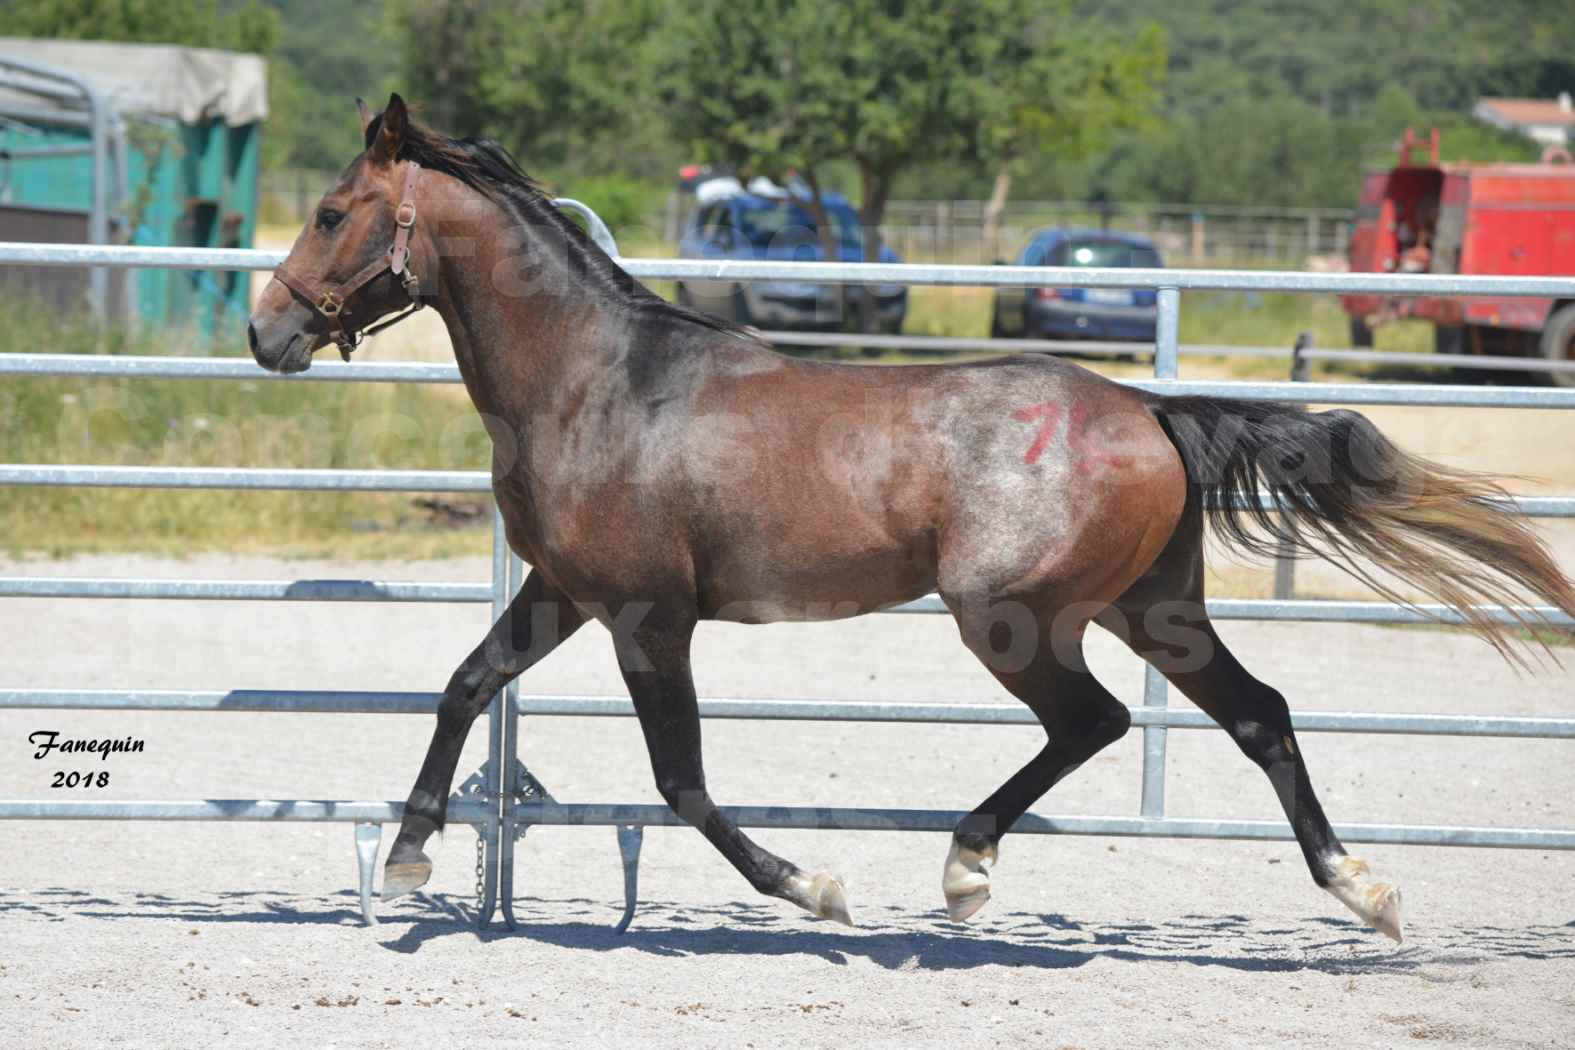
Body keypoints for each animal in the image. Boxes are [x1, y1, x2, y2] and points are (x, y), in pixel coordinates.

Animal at [245, 94, 1575, 938]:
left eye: (328, 212)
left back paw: (966, 868)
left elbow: (682, 780)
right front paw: (410, 856)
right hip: (1157, 611)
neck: (603, 380)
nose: (265, 333)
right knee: (1261, 715)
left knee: (1093, 723)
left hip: (1011, 616)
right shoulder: (565, 592)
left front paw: (816, 887)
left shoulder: (648, 616)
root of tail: (1149, 407)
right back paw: (1366, 893)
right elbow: (467, 684)